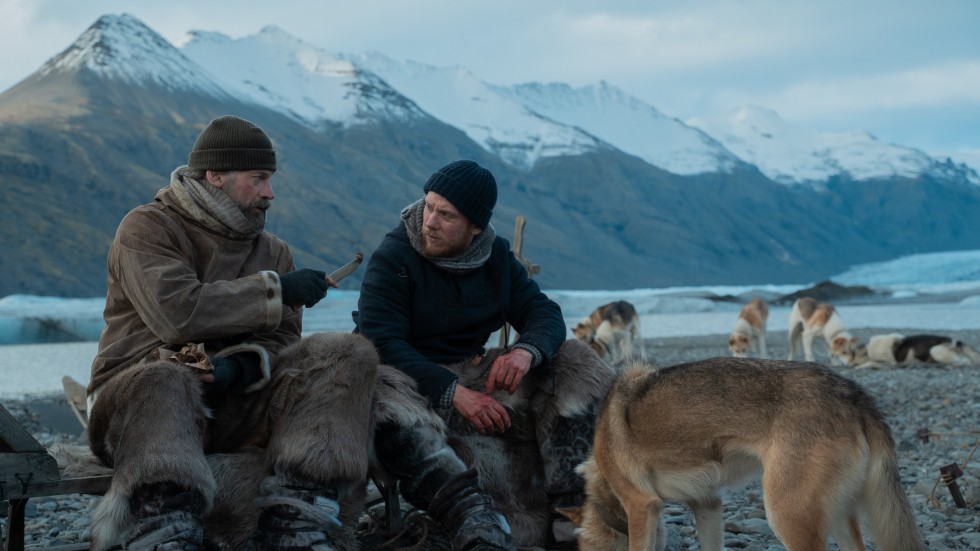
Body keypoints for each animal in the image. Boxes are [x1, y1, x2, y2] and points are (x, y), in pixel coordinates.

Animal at [848, 334, 980, 368]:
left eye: (852, 354)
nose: (849, 363)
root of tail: (956, 341)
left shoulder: (889, 363)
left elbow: (870, 363)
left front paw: (859, 367)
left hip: (935, 350)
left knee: (964, 361)